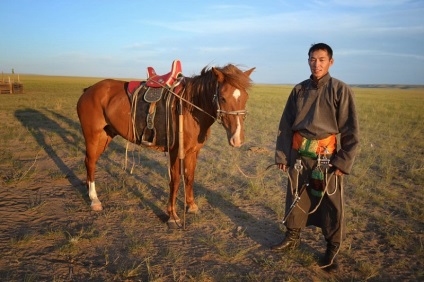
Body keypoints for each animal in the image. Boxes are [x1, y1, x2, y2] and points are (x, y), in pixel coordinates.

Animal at [77, 63, 255, 225]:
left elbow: (190, 177)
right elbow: (175, 181)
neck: (190, 107)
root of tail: (89, 90)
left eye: (246, 97)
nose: (237, 139)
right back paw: (94, 199)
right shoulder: (176, 151)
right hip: (93, 135)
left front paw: (191, 206)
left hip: (106, 135)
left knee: (91, 161)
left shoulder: (193, 151)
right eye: (223, 98)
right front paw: (173, 215)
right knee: (90, 161)